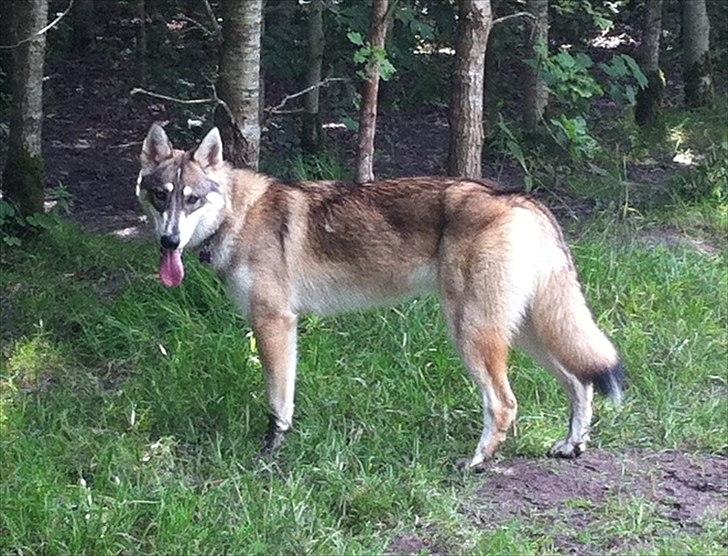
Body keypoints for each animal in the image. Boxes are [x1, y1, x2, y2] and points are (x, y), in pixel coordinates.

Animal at [136, 126, 624, 470]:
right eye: (160, 197)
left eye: (192, 199)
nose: (168, 241)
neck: (239, 216)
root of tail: (521, 199)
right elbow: (286, 398)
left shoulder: (274, 323)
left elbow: (278, 402)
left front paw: (270, 454)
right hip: (523, 332)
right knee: (580, 381)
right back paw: (571, 445)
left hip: (473, 335)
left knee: (505, 404)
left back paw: (477, 462)